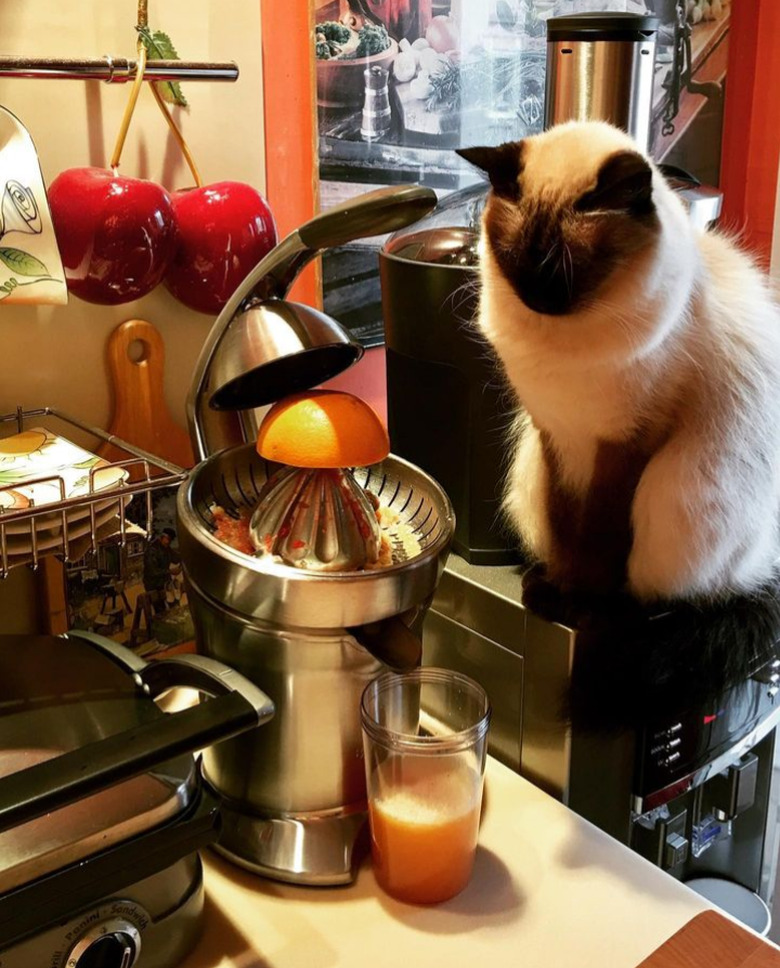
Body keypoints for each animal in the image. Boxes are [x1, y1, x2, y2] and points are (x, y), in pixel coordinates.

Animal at [460, 121, 780, 728]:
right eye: (511, 258)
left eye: (570, 269)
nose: (538, 299)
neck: (567, 348)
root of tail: (765, 566)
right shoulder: (557, 435)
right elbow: (566, 528)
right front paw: (557, 593)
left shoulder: (626, 445)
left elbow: (600, 539)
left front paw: (582, 607)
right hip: (529, 471)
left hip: (675, 488)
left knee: (681, 596)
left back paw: (621, 612)